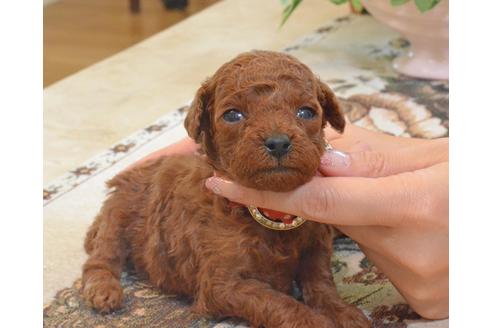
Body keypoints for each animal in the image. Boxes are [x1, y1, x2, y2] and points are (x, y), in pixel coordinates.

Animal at [81, 51, 368, 328]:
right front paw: (316, 320)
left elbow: (321, 281)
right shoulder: (222, 285)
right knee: (103, 255)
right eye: (233, 115)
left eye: (306, 112)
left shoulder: (315, 245)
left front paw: (343, 313)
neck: (270, 210)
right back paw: (102, 289)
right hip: (119, 213)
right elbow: (279, 303)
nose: (278, 142)